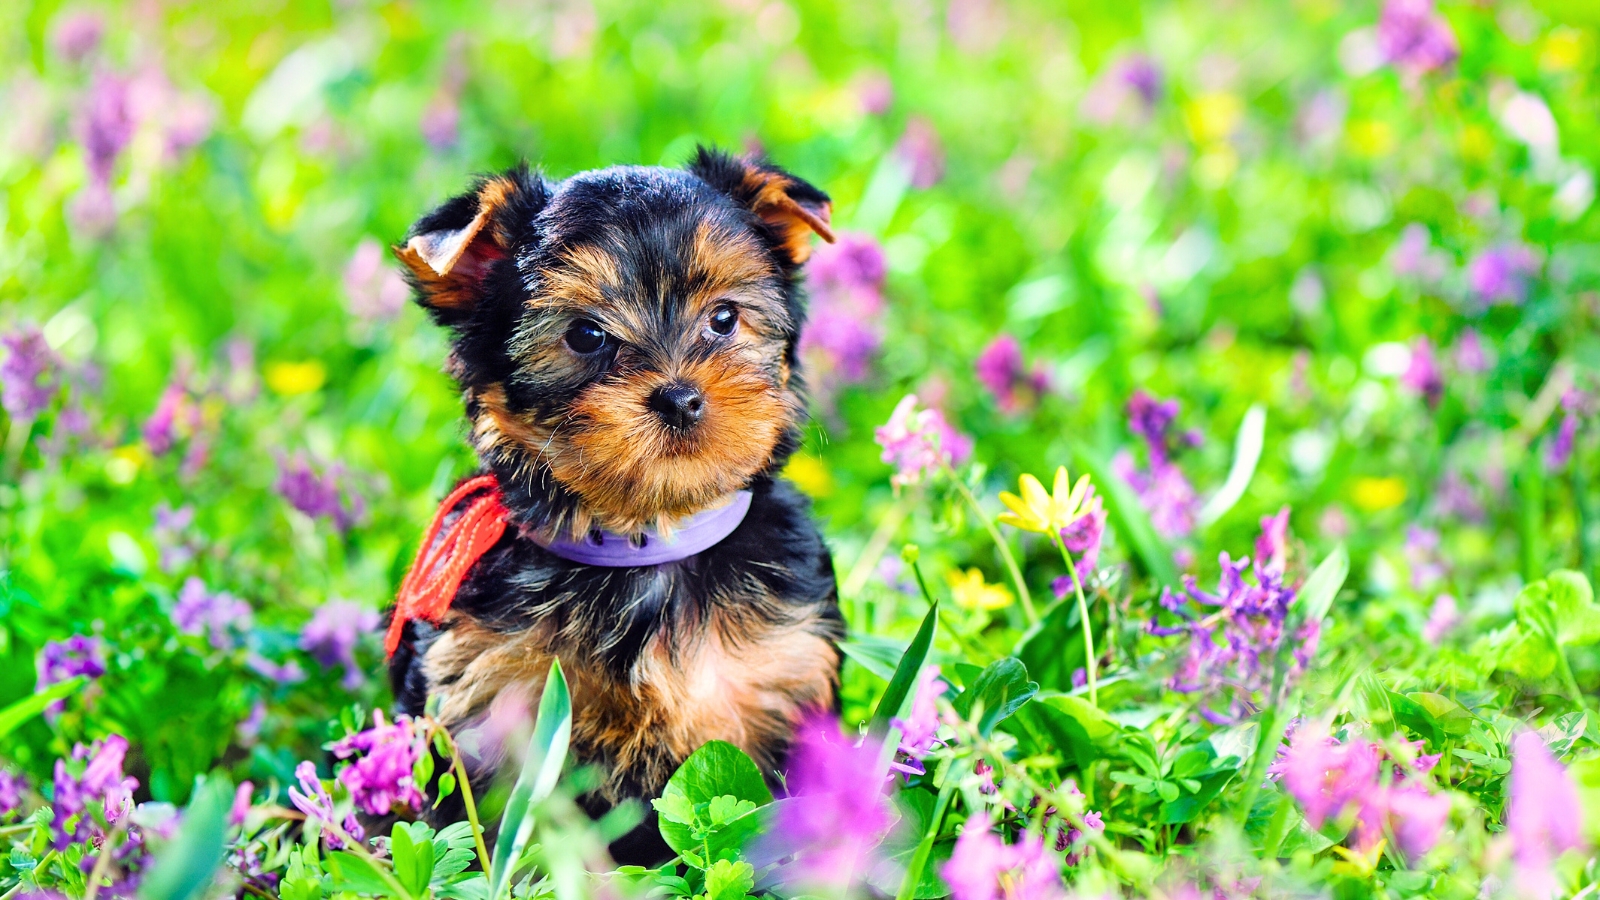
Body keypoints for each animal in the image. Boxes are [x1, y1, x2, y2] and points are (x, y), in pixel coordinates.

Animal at [384, 148, 851, 864]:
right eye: (585, 335)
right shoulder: (488, 692)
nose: (680, 397)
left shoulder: (783, 674)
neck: (649, 544)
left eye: (724, 318)